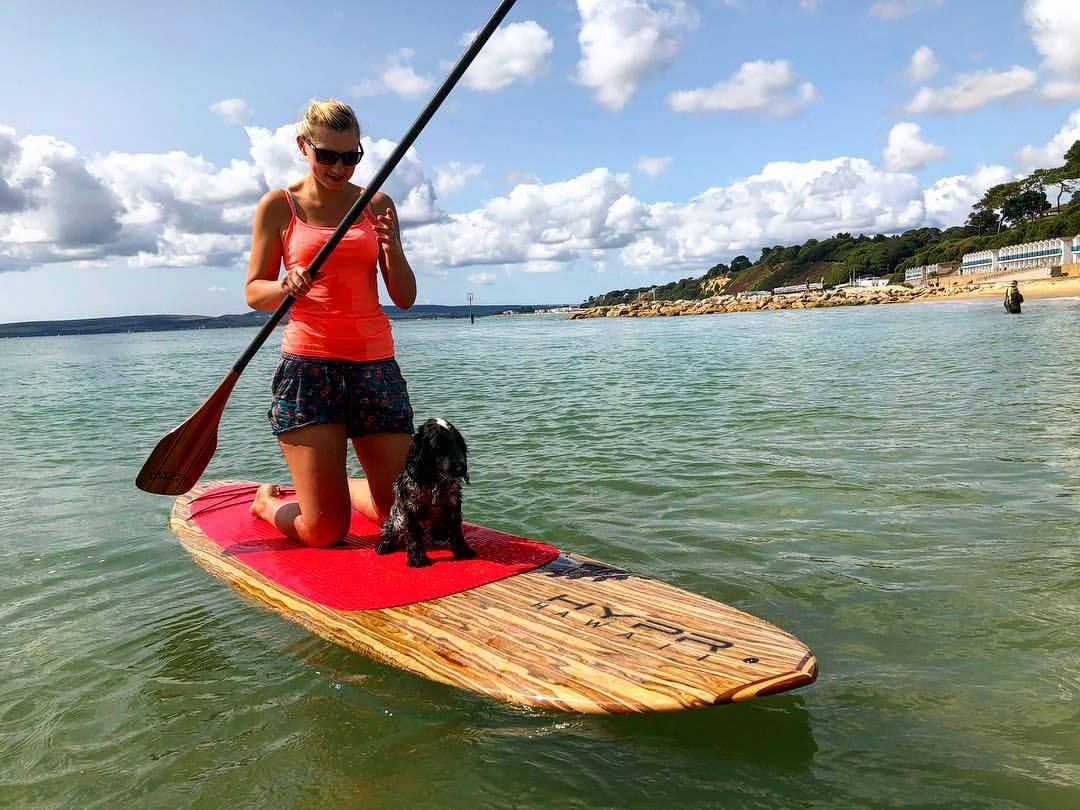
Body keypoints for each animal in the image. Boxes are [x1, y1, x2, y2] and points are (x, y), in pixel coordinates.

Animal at [375, 421, 477, 565]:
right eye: (439, 446)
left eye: (458, 443)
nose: (461, 468)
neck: (434, 482)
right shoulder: (410, 507)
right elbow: (413, 535)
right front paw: (417, 559)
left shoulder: (453, 503)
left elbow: (456, 530)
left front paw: (463, 551)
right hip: (396, 518)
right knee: (390, 530)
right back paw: (385, 545)